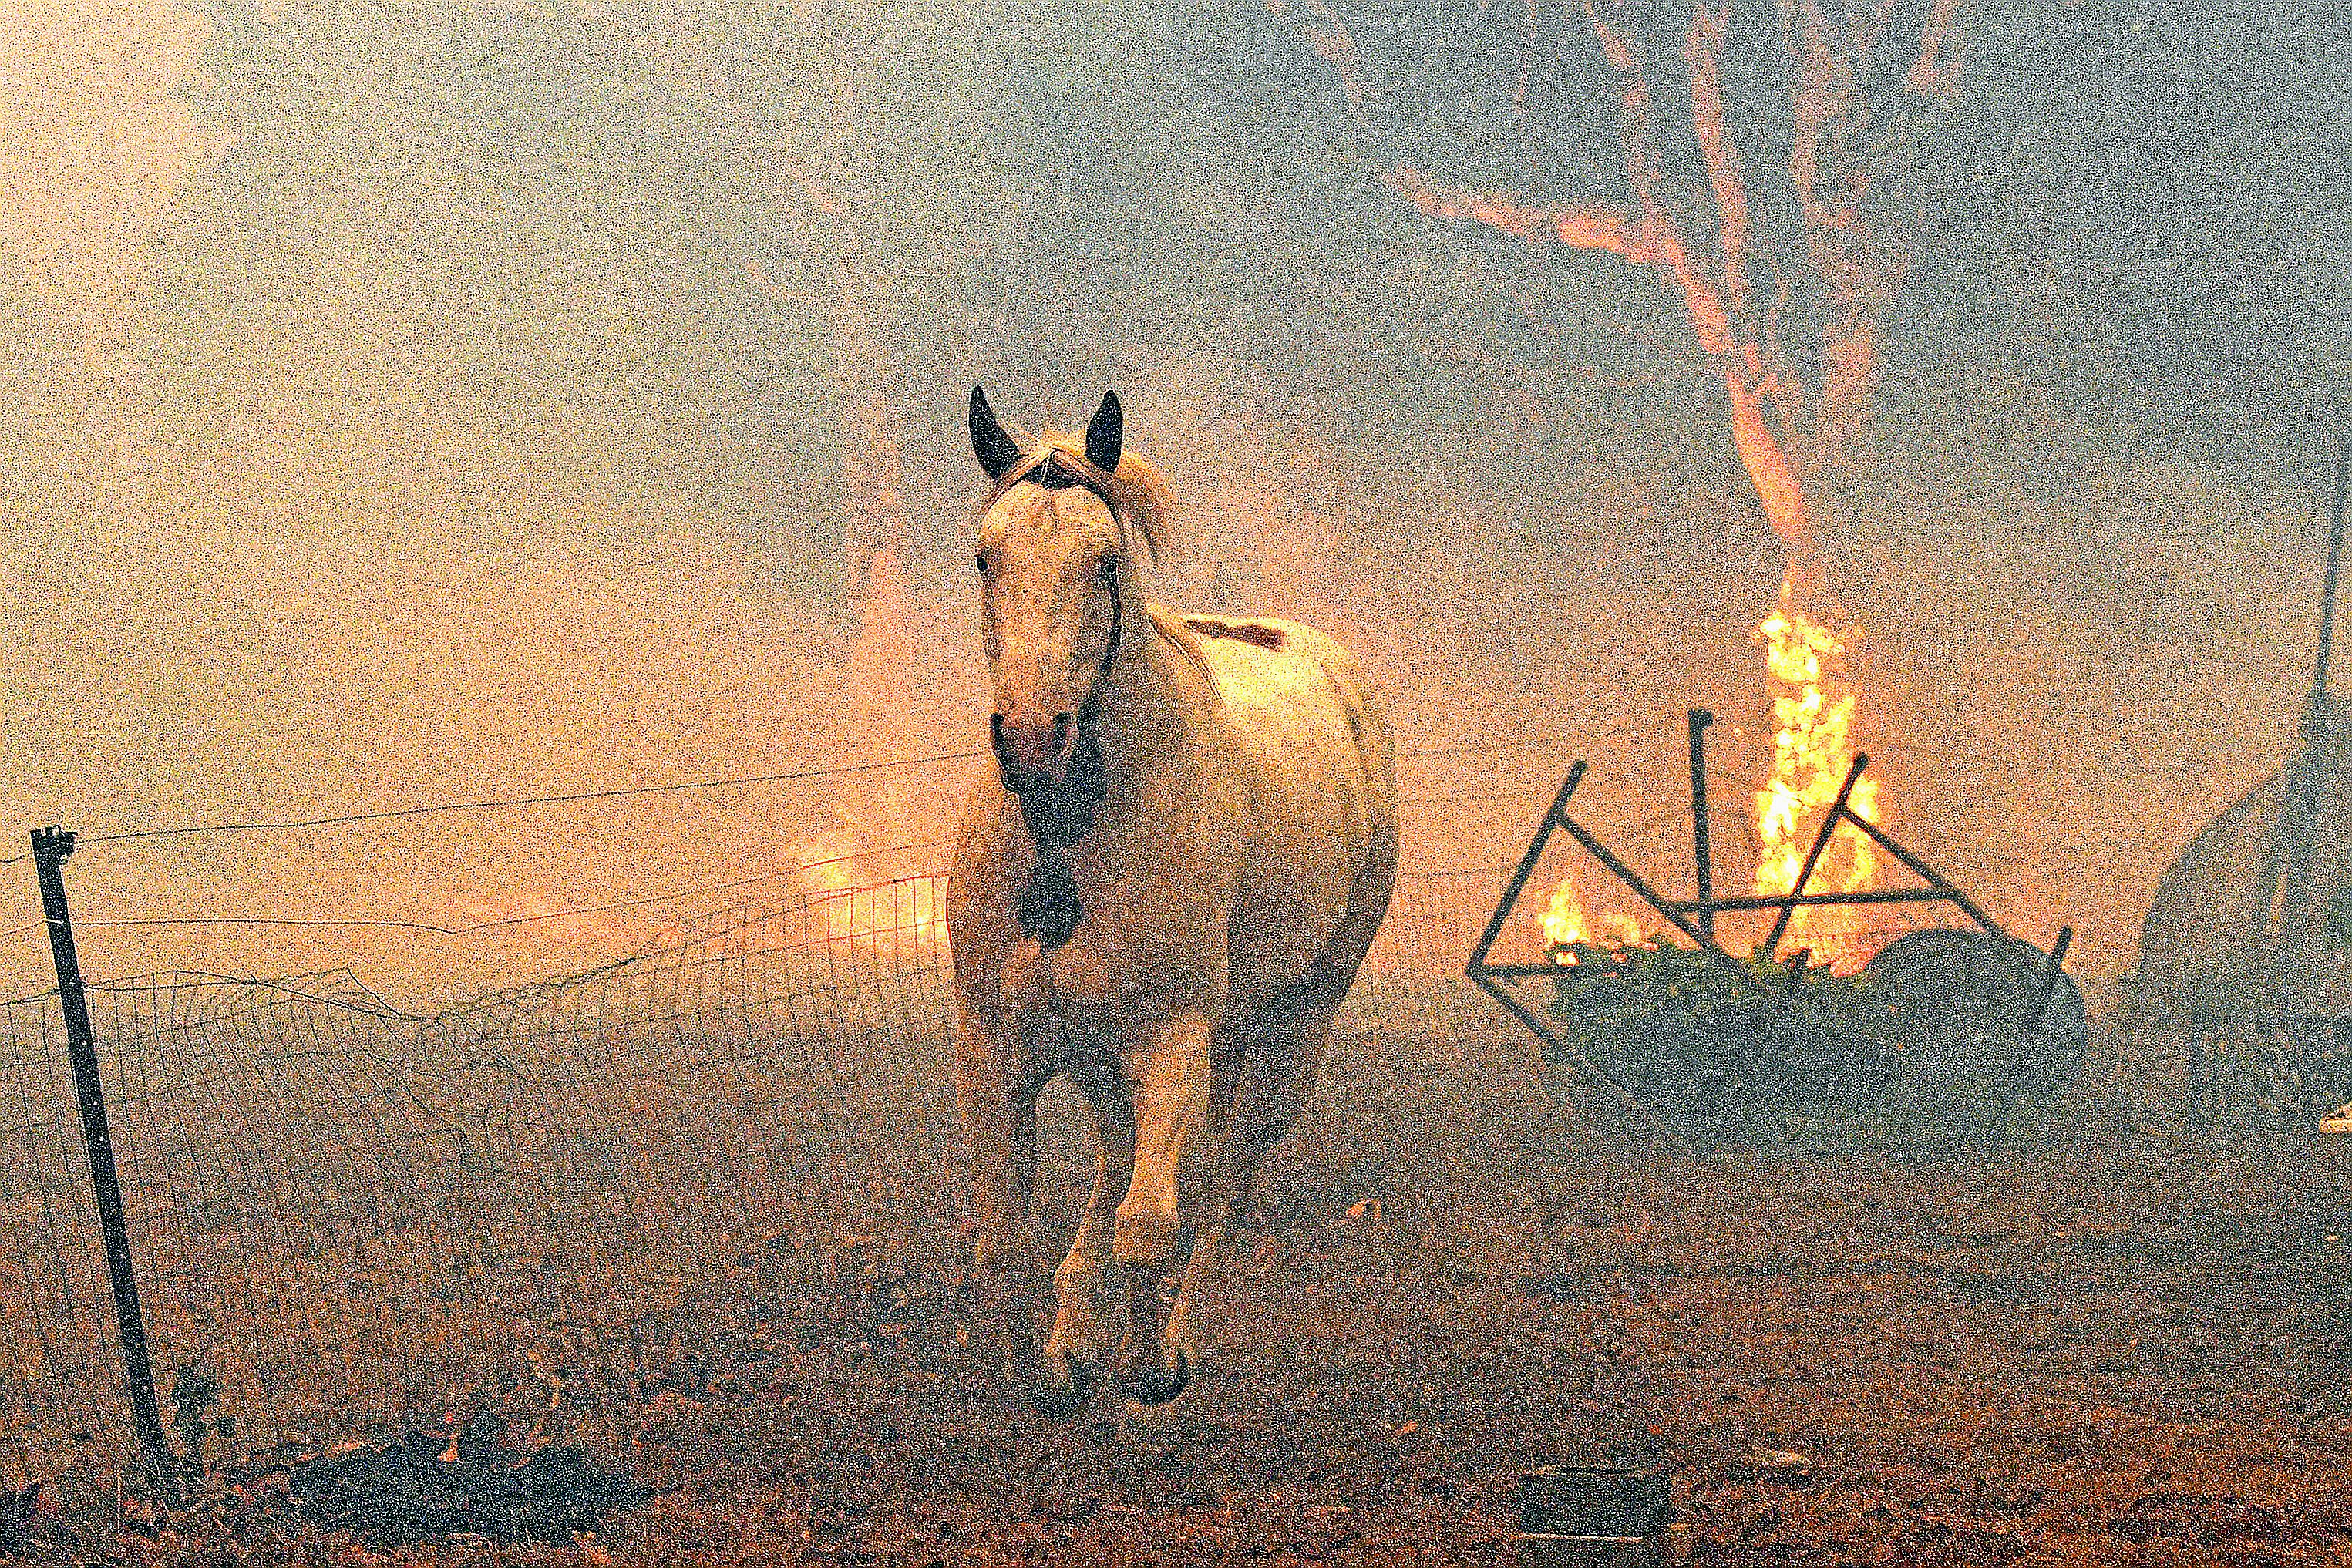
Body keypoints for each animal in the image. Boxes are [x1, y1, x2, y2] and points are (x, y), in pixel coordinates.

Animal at [945, 386, 1400, 1413]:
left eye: (1105, 561)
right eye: (988, 556)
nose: (1031, 737)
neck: (1069, 845)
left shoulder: (1174, 1037)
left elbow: (1153, 1223)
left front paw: (1146, 1367)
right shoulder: (996, 1049)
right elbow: (1001, 1244)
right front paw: (1048, 1373)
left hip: (1293, 1027)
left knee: (1224, 1182)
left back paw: (1172, 1340)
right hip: (1107, 1055)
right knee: (1119, 1163)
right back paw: (1078, 1328)